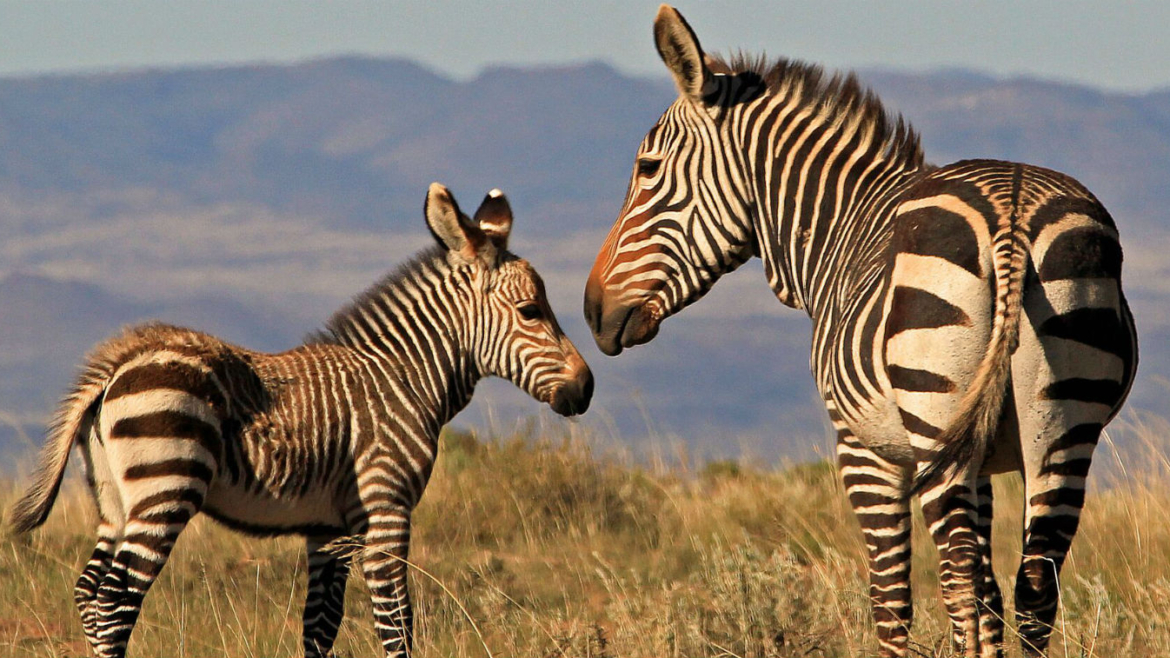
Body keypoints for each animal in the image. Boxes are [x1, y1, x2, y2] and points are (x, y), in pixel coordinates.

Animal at [9, 183, 594, 658]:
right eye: (531, 312)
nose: (586, 387)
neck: (402, 376)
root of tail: (118, 363)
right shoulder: (385, 507)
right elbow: (396, 623)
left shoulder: (328, 529)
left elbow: (321, 627)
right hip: (165, 485)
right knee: (115, 602)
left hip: (115, 498)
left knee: (90, 594)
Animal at [582, 6, 1136, 658]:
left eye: (647, 169)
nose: (591, 310)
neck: (841, 229)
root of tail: (1012, 213)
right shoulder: (982, 461)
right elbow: (992, 597)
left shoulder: (865, 449)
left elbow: (893, 605)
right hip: (1062, 429)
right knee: (1032, 591)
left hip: (935, 419)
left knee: (959, 586)